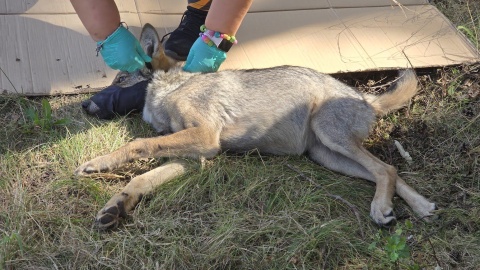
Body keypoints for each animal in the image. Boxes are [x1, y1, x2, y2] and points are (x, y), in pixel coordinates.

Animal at [74, 23, 436, 230]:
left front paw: (99, 163)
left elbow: (136, 144)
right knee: (388, 171)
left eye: (120, 79)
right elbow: (140, 180)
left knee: (385, 168)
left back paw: (381, 207)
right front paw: (115, 206)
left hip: (330, 135)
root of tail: (365, 98)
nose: (83, 105)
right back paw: (418, 206)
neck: (174, 87)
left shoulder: (204, 138)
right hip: (327, 156)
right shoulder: (193, 157)